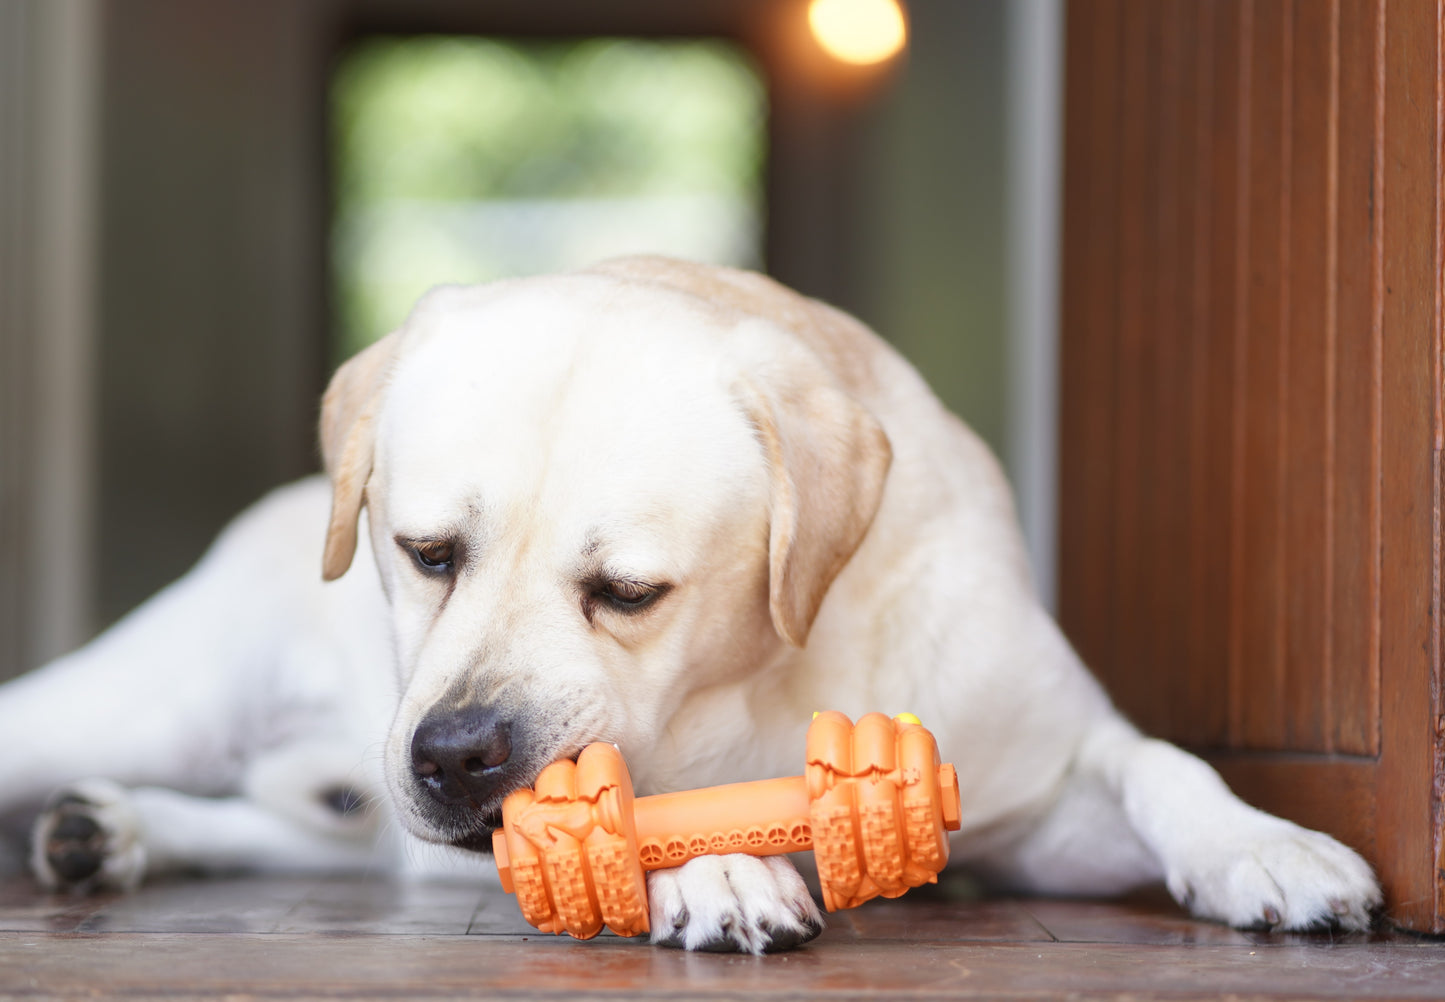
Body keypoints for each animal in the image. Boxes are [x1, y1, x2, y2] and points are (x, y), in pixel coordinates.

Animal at [0, 255, 1375, 948]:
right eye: (426, 552)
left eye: (628, 591)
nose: (452, 757)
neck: (770, 688)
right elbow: (644, 815)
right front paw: (715, 868)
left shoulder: (1036, 783)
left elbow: (1156, 763)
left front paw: (1261, 844)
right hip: (141, 704)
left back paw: (111, 833)